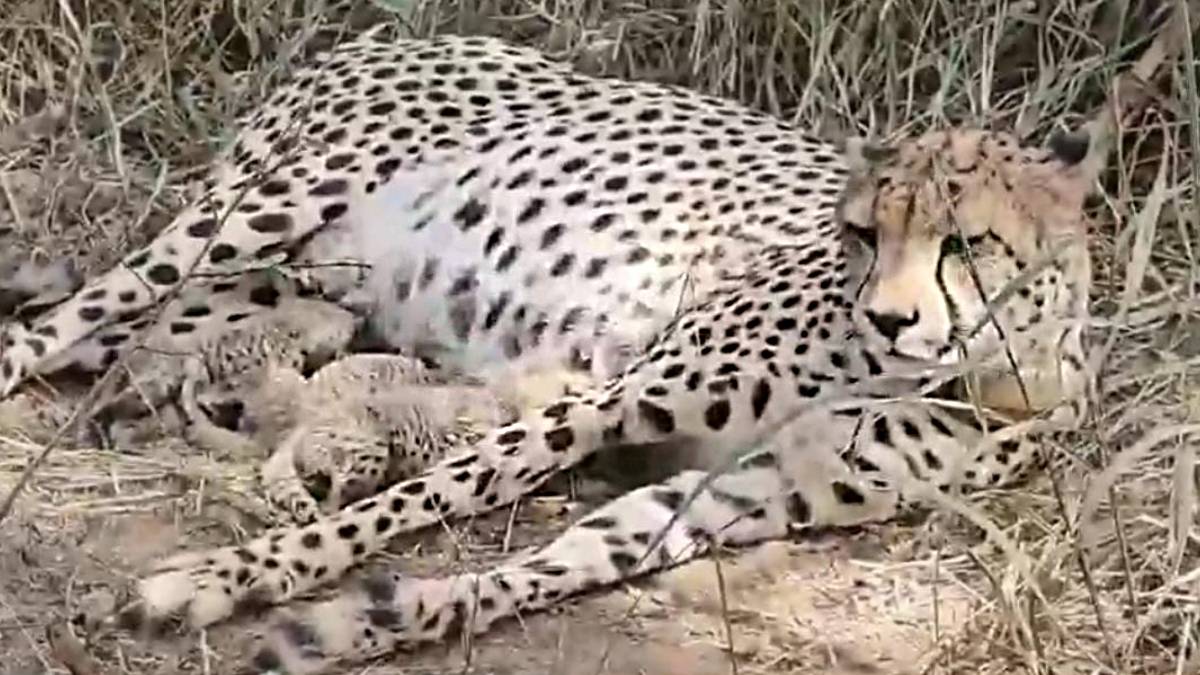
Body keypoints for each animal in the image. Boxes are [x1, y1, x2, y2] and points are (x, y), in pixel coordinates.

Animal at [0, 28, 1099, 674]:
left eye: (967, 244)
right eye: (866, 233)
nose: (889, 319)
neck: (986, 373)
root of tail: (401, 30)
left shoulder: (749, 486)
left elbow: (570, 556)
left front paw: (389, 618)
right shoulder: (612, 397)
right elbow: (435, 494)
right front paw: (230, 577)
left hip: (302, 280)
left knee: (145, 334)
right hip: (257, 208)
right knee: (60, 321)